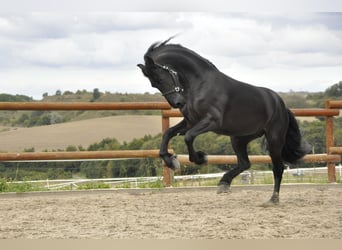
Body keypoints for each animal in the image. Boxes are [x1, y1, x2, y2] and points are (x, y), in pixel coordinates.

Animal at [137, 38, 310, 204]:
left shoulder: (210, 121)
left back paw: (273, 199)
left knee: (277, 168)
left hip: (274, 139)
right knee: (245, 163)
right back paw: (224, 183)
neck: (200, 85)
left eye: (160, 78)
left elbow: (188, 137)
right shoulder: (190, 122)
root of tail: (281, 105)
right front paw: (171, 161)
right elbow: (168, 133)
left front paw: (200, 158)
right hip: (239, 138)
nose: (178, 103)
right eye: (154, 83)